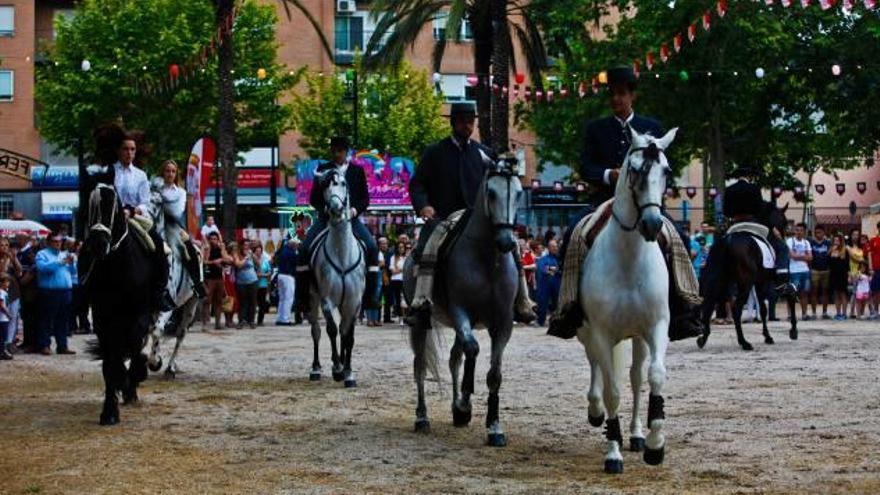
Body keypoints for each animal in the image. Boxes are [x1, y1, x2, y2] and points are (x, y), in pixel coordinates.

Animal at [79, 170, 155, 426]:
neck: (117, 269)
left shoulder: (140, 314)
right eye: (88, 204)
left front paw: (132, 378)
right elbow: (110, 362)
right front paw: (109, 411)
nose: (98, 244)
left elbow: (133, 347)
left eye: (113, 204)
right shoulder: (102, 318)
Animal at [308, 169, 366, 390]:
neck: (342, 254)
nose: (335, 208)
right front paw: (339, 369)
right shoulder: (326, 300)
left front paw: (348, 373)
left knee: (343, 330)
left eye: (343, 183)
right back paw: (317, 369)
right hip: (312, 297)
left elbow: (348, 336)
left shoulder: (354, 302)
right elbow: (331, 330)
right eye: (324, 185)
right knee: (316, 331)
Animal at [404, 157, 524, 448]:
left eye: (518, 193)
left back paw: (456, 410)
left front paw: (493, 427)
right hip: (421, 324)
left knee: (453, 359)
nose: (506, 242)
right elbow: (473, 349)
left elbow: (493, 374)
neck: (486, 259)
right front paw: (465, 405)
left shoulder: (503, 323)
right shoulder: (461, 313)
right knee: (420, 365)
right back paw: (422, 417)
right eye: (491, 193)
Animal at [580, 128, 676, 476]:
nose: (651, 224)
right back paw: (596, 412)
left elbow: (654, 376)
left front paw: (655, 445)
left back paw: (636, 435)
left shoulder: (657, 327)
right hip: (589, 333)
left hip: (637, 337)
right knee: (596, 366)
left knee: (636, 377)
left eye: (666, 171)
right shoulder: (601, 332)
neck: (629, 260)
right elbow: (612, 391)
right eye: (634, 170)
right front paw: (613, 453)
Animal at [700, 202, 796, 352]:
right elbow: (789, 296)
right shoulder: (770, 280)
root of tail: (728, 241)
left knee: (710, 303)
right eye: (785, 221)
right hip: (744, 283)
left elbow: (763, 309)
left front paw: (767, 336)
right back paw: (744, 342)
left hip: (721, 280)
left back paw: (703, 338)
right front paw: (793, 331)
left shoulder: (759, 282)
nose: (783, 236)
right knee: (736, 309)